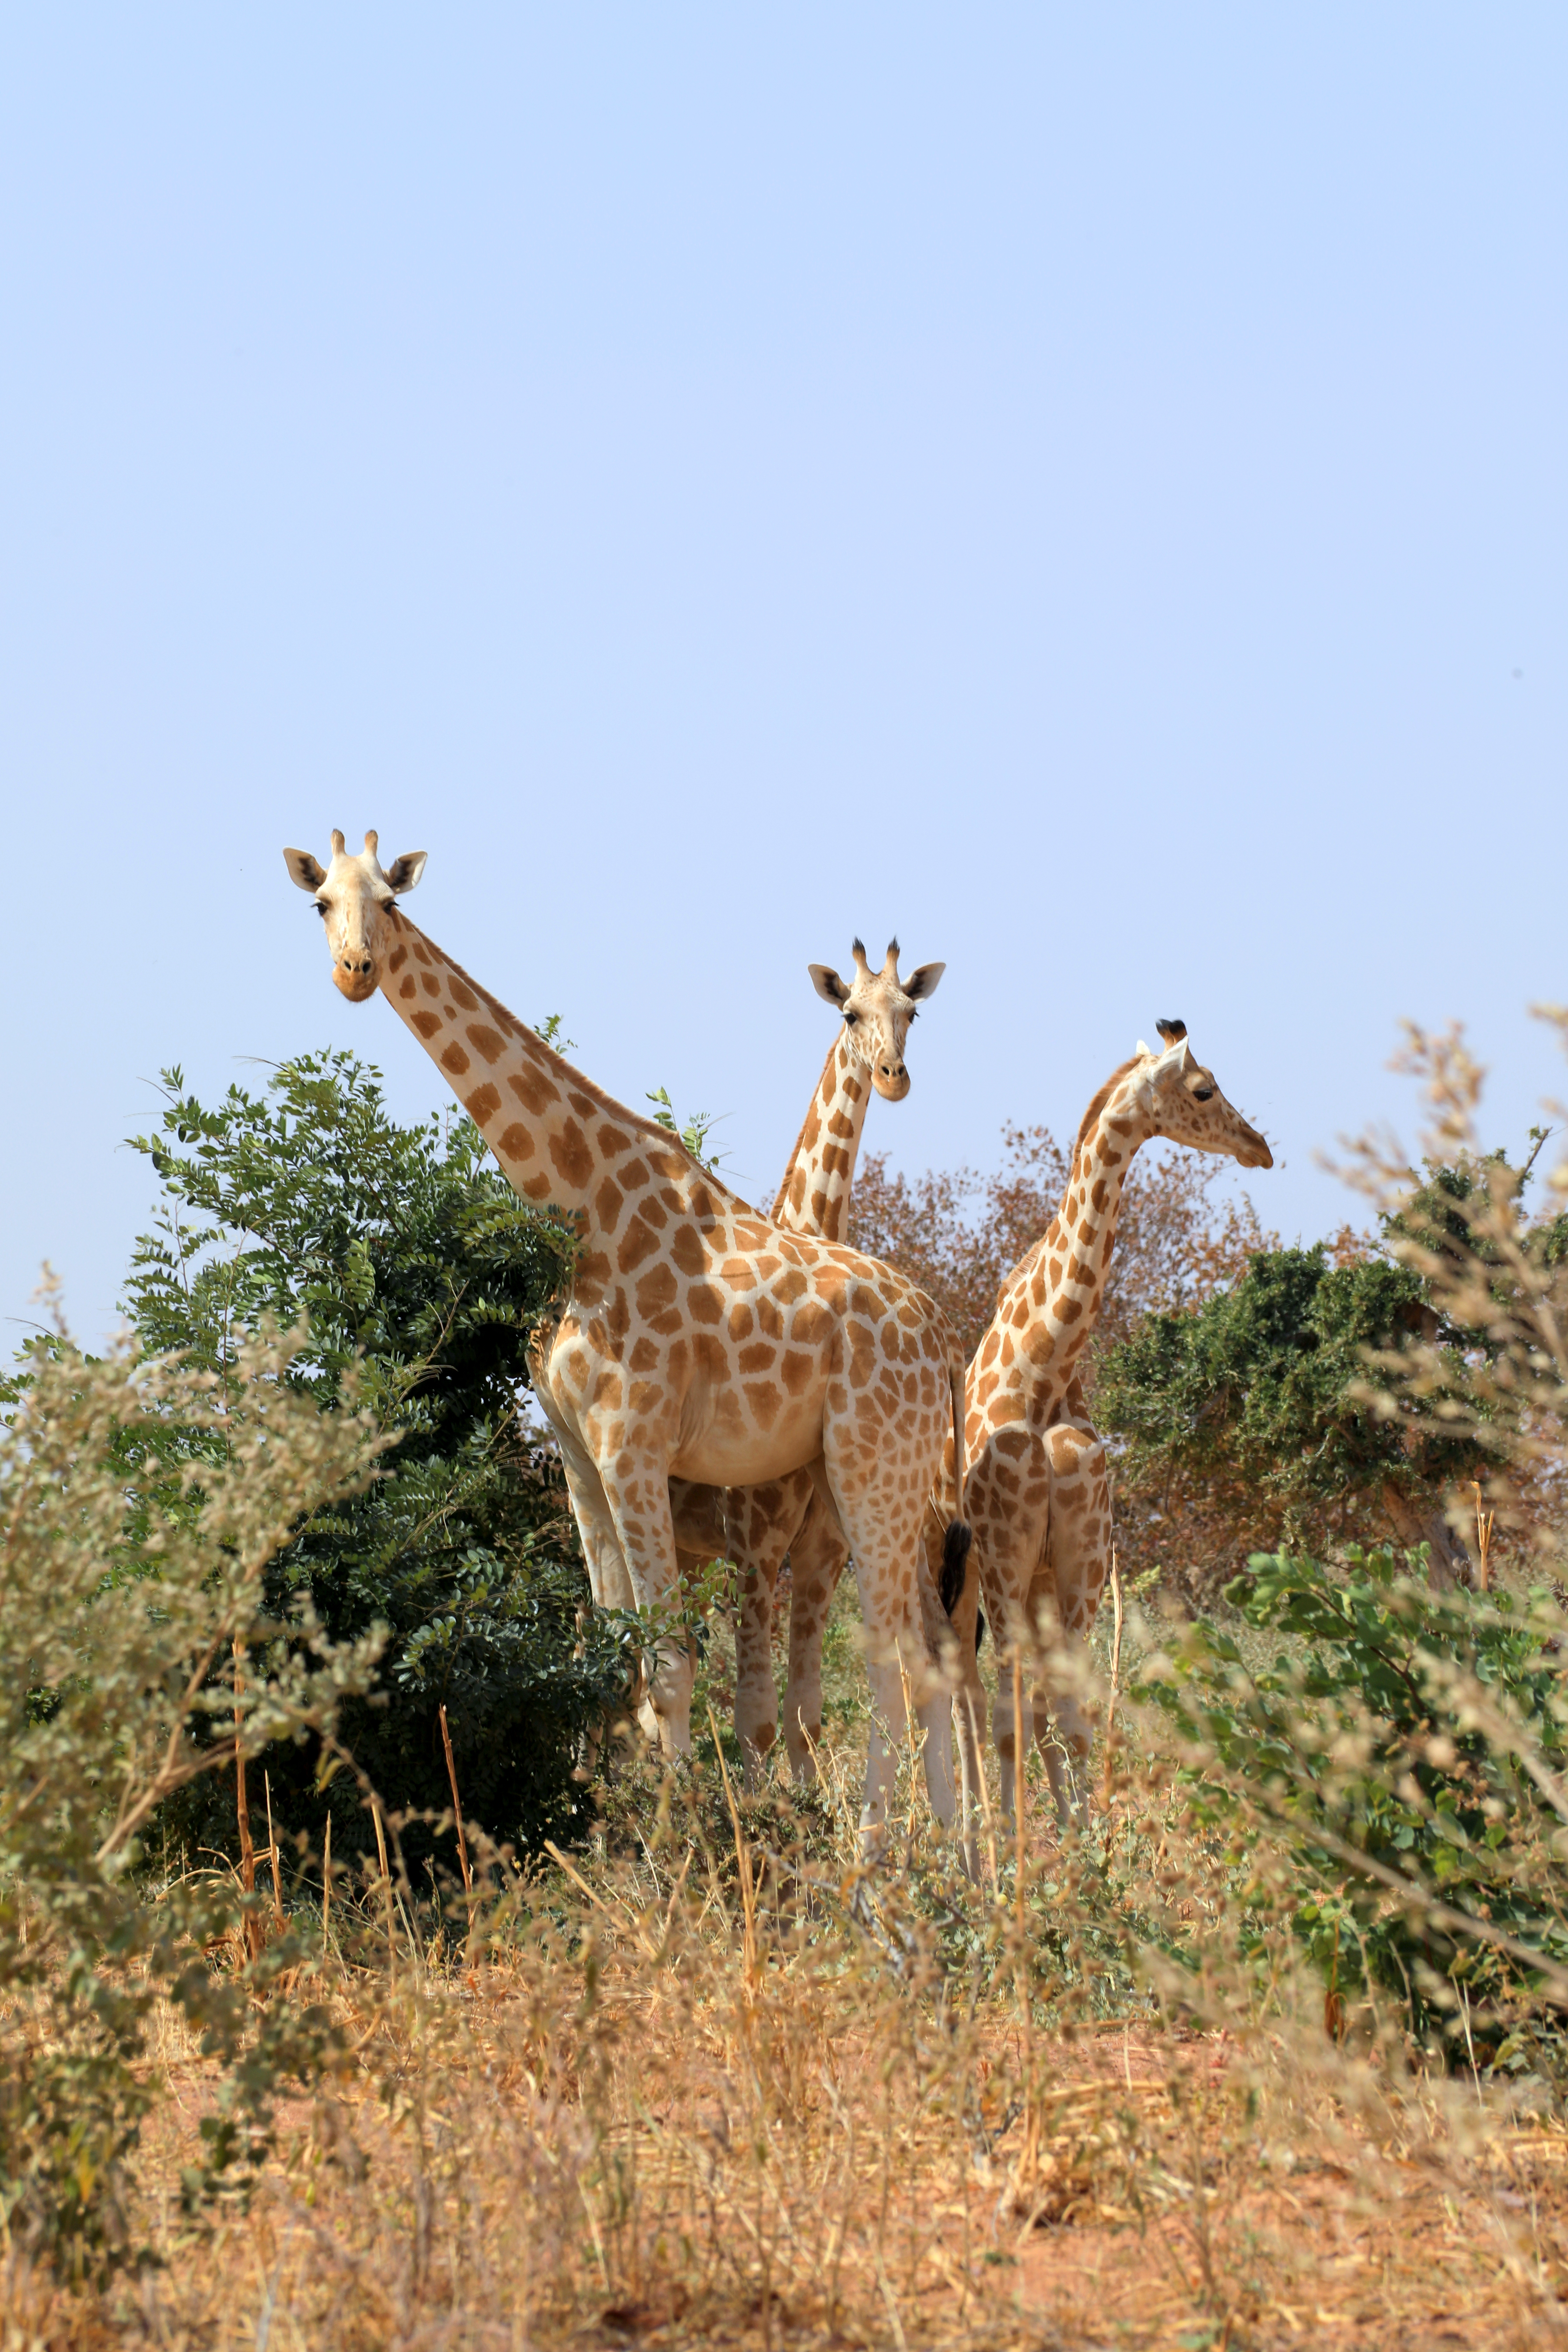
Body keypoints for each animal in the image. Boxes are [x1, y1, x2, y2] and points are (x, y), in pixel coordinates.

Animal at [663, 936, 945, 1778]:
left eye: (912, 1012)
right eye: (848, 1012)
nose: (892, 1077)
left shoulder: (817, 1546)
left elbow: (804, 1717)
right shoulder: (752, 1542)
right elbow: (755, 1713)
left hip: (689, 1550)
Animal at [931, 1025, 1279, 1815]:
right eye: (1204, 1089)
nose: (1259, 1147)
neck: (1044, 1367)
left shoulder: (1079, 1565)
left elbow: (1070, 1719)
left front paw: (1084, 1841)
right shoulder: (1002, 1555)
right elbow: (1009, 1718)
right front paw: (1016, 1854)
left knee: (1017, 1706)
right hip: (950, 1572)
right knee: (966, 1701)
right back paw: (969, 1834)